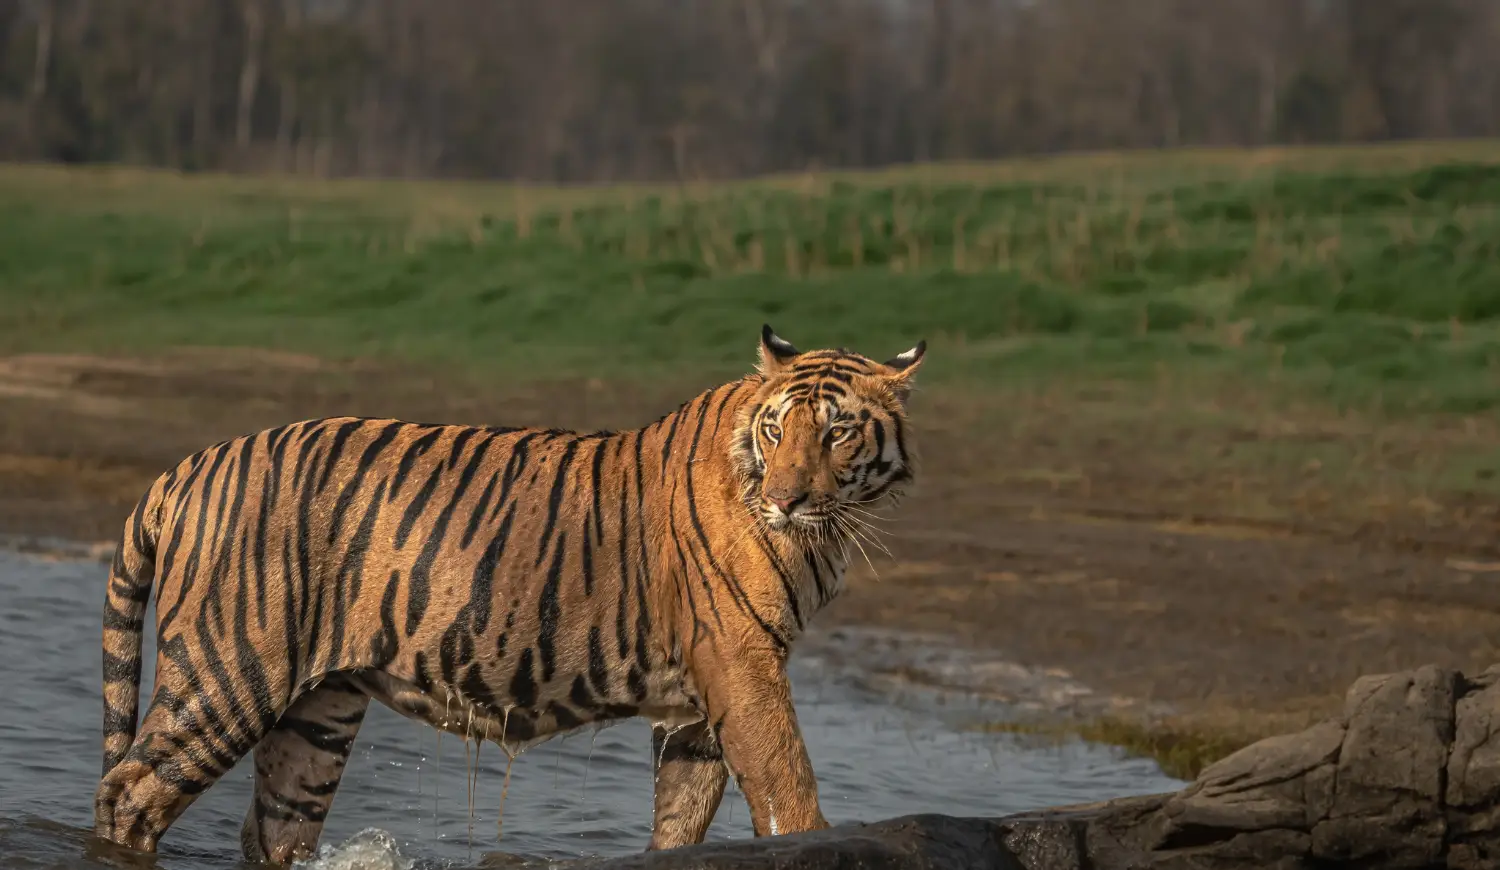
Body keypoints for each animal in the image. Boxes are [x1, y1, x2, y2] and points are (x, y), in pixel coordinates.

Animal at [93, 325, 926, 864]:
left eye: (838, 433)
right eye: (779, 431)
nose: (785, 500)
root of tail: (194, 462)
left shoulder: (696, 702)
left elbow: (682, 815)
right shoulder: (743, 661)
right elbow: (787, 787)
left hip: (317, 712)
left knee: (273, 830)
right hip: (228, 674)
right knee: (128, 795)